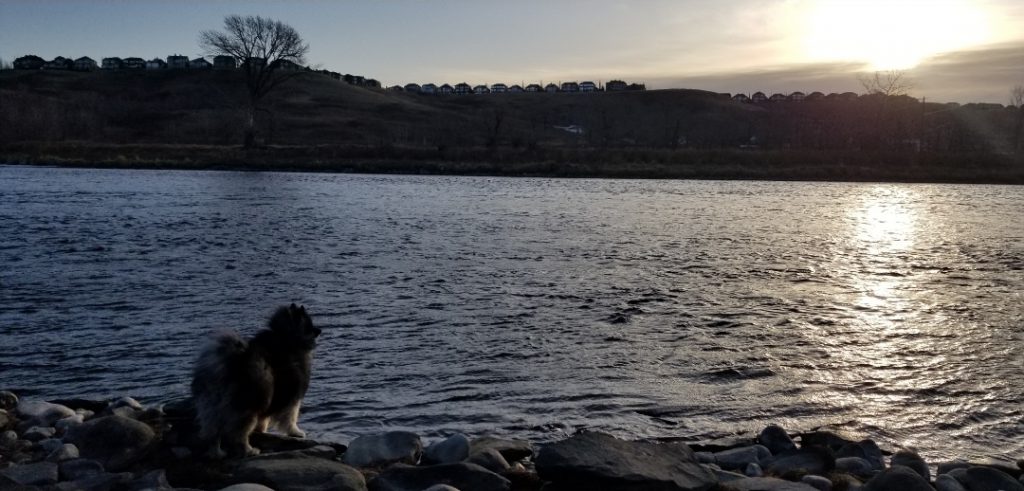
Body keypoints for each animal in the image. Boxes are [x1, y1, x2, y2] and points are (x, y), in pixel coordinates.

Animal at [190, 303, 319, 457]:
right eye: (309, 324)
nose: (319, 330)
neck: (285, 335)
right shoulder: (292, 394)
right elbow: (290, 417)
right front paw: (296, 432)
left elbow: (264, 420)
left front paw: (262, 430)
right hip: (247, 406)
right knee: (238, 434)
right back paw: (249, 450)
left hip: (212, 408)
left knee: (213, 433)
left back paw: (217, 453)